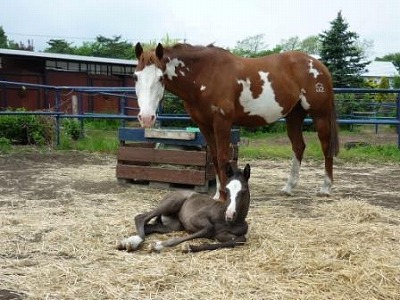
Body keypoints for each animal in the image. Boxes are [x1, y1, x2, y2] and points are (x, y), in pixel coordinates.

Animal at [117, 163, 252, 252]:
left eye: (244, 191)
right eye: (226, 190)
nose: (229, 215)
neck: (230, 222)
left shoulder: (222, 235)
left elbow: (240, 239)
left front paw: (189, 247)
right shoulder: (196, 218)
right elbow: (209, 228)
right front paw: (158, 245)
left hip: (173, 225)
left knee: (150, 227)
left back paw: (128, 242)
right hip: (171, 204)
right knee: (140, 217)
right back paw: (131, 242)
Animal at [134, 42, 338, 200]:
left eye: (160, 78)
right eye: (136, 77)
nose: (146, 117)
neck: (205, 74)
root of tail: (320, 66)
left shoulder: (222, 122)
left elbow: (223, 157)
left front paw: (225, 195)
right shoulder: (204, 125)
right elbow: (214, 157)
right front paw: (218, 194)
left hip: (320, 115)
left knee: (326, 146)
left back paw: (326, 188)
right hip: (294, 116)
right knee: (298, 146)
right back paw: (289, 188)